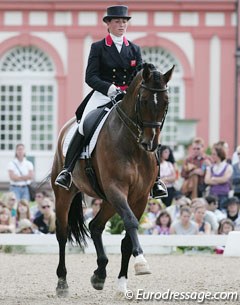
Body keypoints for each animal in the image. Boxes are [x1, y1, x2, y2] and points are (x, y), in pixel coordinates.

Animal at [51, 63, 174, 296]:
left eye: (166, 102)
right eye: (144, 100)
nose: (150, 144)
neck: (133, 144)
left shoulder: (138, 197)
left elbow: (126, 238)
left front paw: (122, 284)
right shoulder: (116, 188)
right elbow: (130, 223)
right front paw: (141, 262)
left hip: (108, 200)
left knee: (95, 226)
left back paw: (100, 273)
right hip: (65, 193)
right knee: (62, 234)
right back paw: (62, 282)